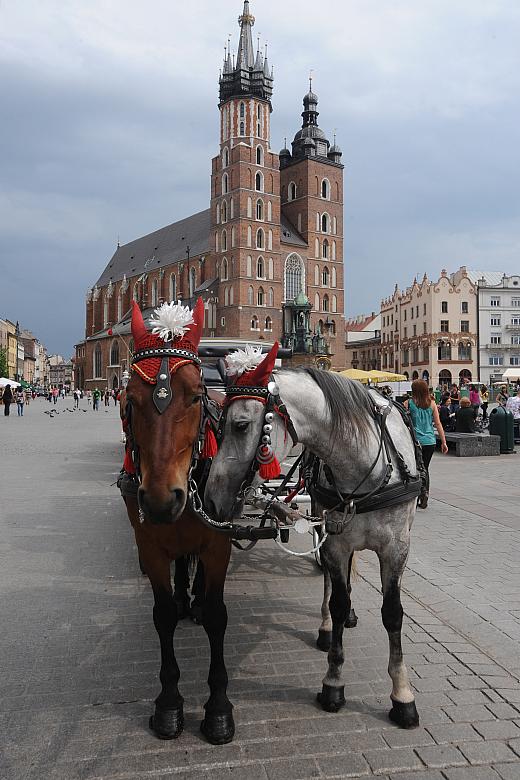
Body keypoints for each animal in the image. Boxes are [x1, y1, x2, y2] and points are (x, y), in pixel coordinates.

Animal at [120, 298, 234, 744]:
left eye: (196, 396)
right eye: (129, 398)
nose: (160, 499)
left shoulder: (218, 544)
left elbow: (218, 617)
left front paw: (218, 709)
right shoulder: (150, 546)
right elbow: (163, 614)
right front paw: (168, 704)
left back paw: (196, 600)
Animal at [205, 346, 420, 724]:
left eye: (241, 425)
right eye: (218, 424)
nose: (212, 501)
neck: (363, 465)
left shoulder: (397, 549)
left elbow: (393, 613)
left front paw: (402, 695)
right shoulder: (334, 541)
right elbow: (337, 599)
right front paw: (333, 682)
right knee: (332, 584)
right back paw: (328, 626)